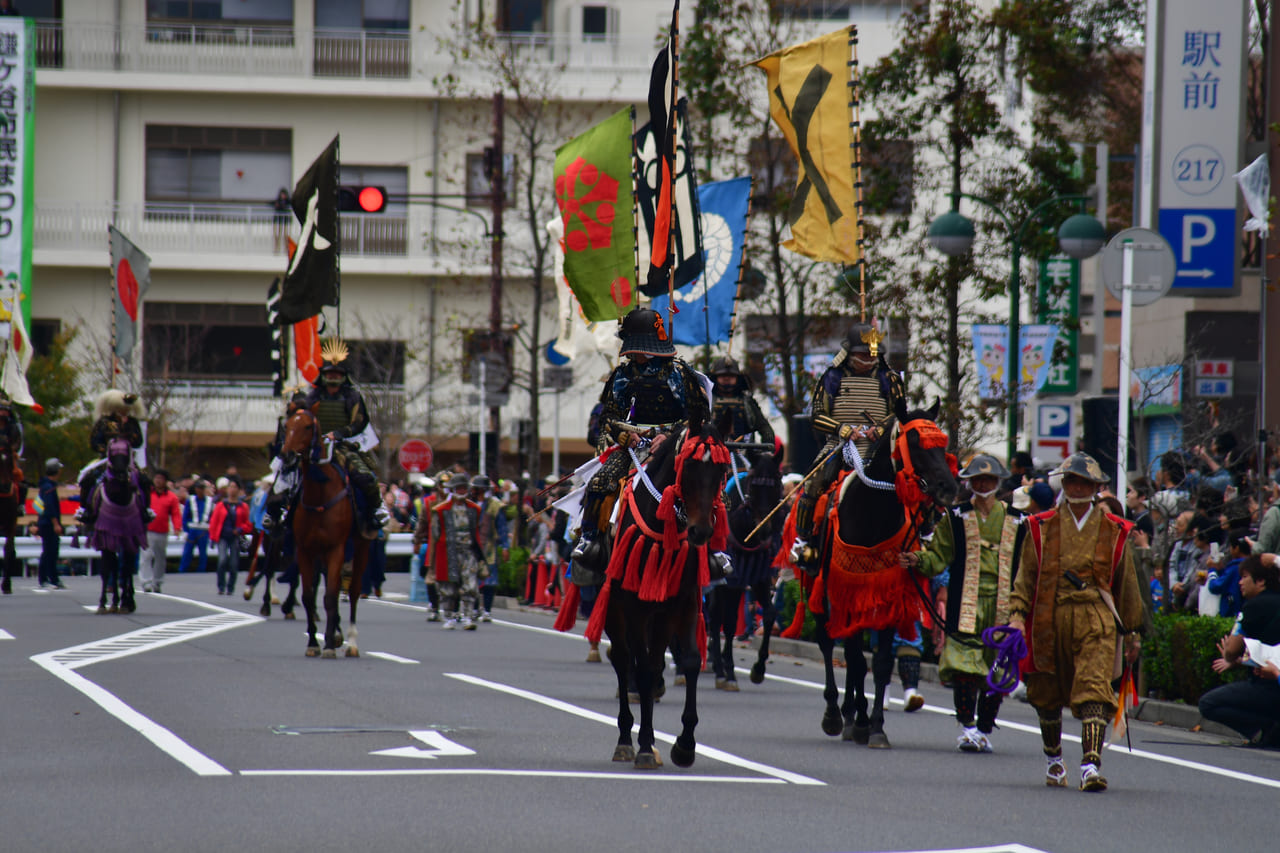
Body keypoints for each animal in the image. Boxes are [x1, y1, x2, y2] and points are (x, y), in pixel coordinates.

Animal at [280, 404, 371, 655]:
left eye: (307, 426)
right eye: (287, 426)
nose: (287, 455)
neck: (320, 493)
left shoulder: (337, 548)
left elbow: (330, 596)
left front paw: (329, 643)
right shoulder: (305, 550)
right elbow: (309, 596)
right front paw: (313, 642)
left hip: (360, 546)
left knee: (353, 590)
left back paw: (351, 643)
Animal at [583, 414, 732, 768]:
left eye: (722, 470)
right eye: (688, 466)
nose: (701, 531)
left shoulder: (682, 600)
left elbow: (689, 660)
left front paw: (685, 744)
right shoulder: (635, 605)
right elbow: (644, 668)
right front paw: (646, 746)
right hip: (614, 605)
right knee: (624, 659)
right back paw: (626, 739)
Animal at [706, 440, 783, 686]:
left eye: (777, 482)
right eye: (754, 483)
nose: (765, 529)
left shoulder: (756, 576)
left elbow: (769, 614)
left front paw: (758, 668)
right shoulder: (727, 578)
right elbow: (727, 621)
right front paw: (727, 670)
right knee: (714, 615)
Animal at [788, 397, 962, 742]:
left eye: (942, 443)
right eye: (914, 443)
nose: (948, 489)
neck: (871, 514)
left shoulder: (887, 591)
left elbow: (879, 663)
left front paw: (876, 727)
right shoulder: (846, 588)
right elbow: (854, 658)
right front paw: (857, 720)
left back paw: (852, 714)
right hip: (818, 585)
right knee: (827, 643)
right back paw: (836, 714)